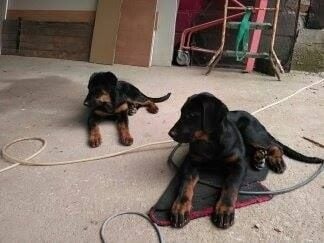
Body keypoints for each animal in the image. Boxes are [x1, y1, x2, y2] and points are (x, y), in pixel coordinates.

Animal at [168, 92, 322, 229]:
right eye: (181, 113)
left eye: (192, 115)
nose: (171, 133)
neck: (210, 142)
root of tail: (254, 118)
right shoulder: (190, 162)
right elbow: (186, 183)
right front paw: (180, 207)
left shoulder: (239, 165)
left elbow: (230, 185)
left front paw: (224, 210)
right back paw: (258, 158)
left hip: (250, 132)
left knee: (275, 145)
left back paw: (275, 161)